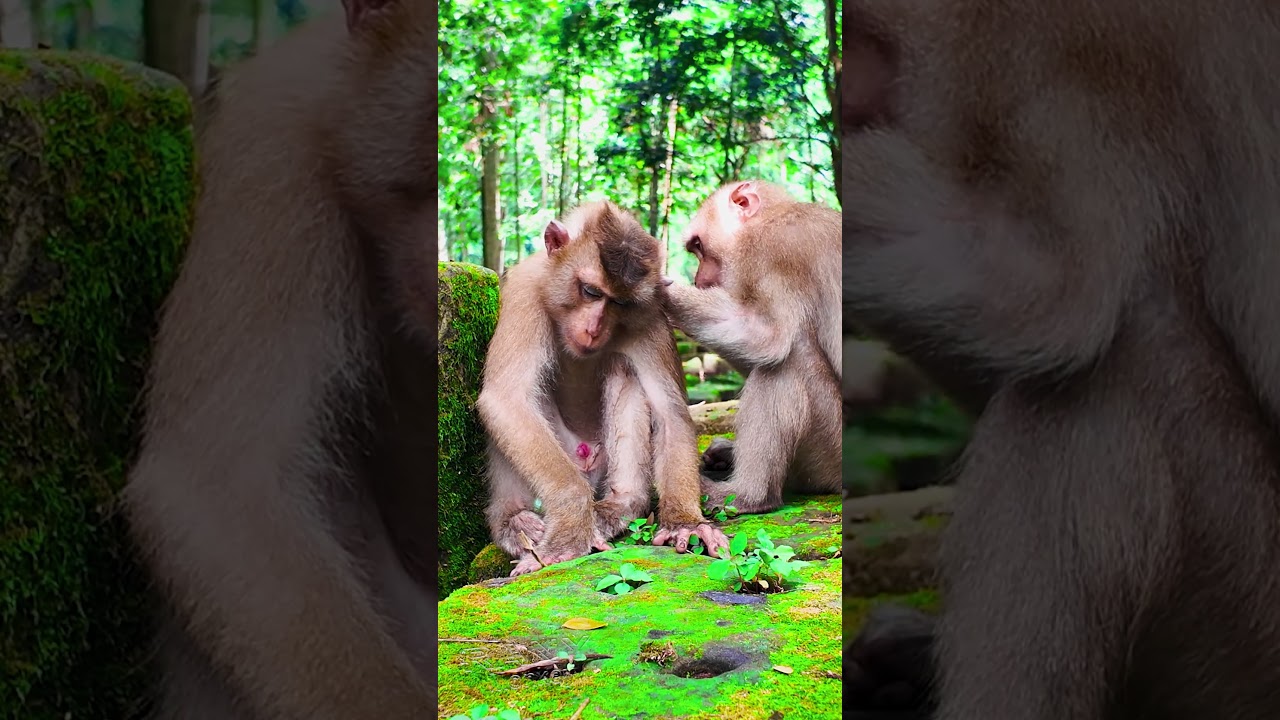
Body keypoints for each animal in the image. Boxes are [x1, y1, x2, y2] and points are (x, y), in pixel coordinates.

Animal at [478, 201, 731, 577]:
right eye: (591, 291)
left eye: (620, 303)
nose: (593, 329)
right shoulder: (524, 290)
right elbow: (506, 399)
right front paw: (570, 524)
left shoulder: (651, 310)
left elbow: (670, 412)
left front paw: (685, 522)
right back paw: (515, 521)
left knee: (623, 368)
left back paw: (618, 505)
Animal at [659, 179, 842, 515]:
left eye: (698, 246)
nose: (699, 280)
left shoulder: (773, 251)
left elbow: (769, 336)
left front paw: (655, 288)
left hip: (831, 453)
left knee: (788, 361)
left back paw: (748, 495)